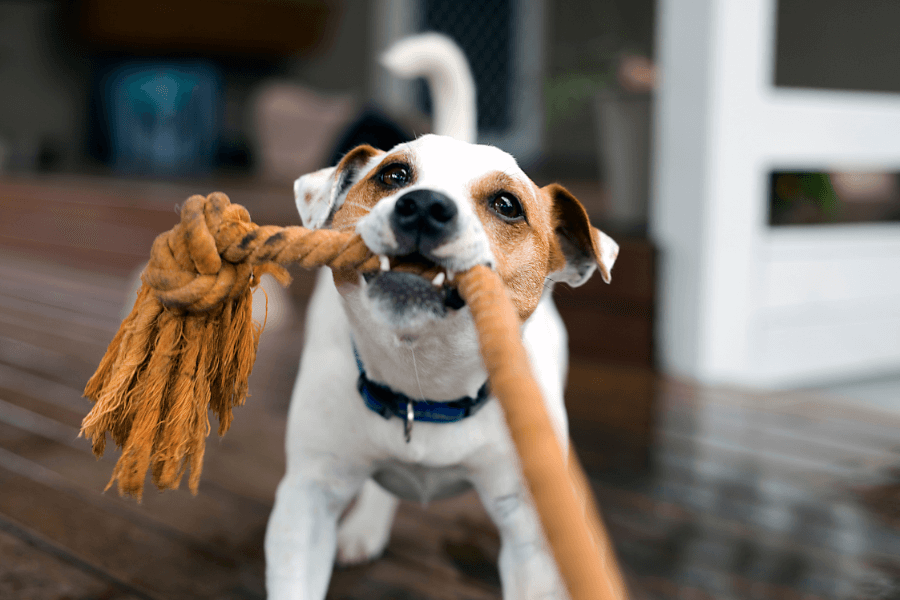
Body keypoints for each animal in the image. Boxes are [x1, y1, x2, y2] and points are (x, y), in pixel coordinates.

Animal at [264, 36, 620, 600]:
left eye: (506, 204)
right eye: (393, 175)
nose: (425, 206)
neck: (423, 386)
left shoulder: (529, 532)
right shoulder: (306, 501)